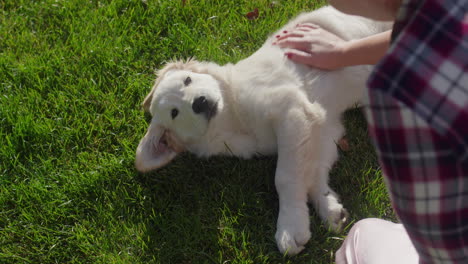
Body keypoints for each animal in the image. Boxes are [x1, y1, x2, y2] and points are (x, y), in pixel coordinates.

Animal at [136, 6, 392, 256]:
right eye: (174, 113)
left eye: (188, 80)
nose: (200, 102)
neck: (233, 117)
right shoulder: (323, 127)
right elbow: (311, 171)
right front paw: (328, 207)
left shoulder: (293, 112)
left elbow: (285, 177)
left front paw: (290, 226)